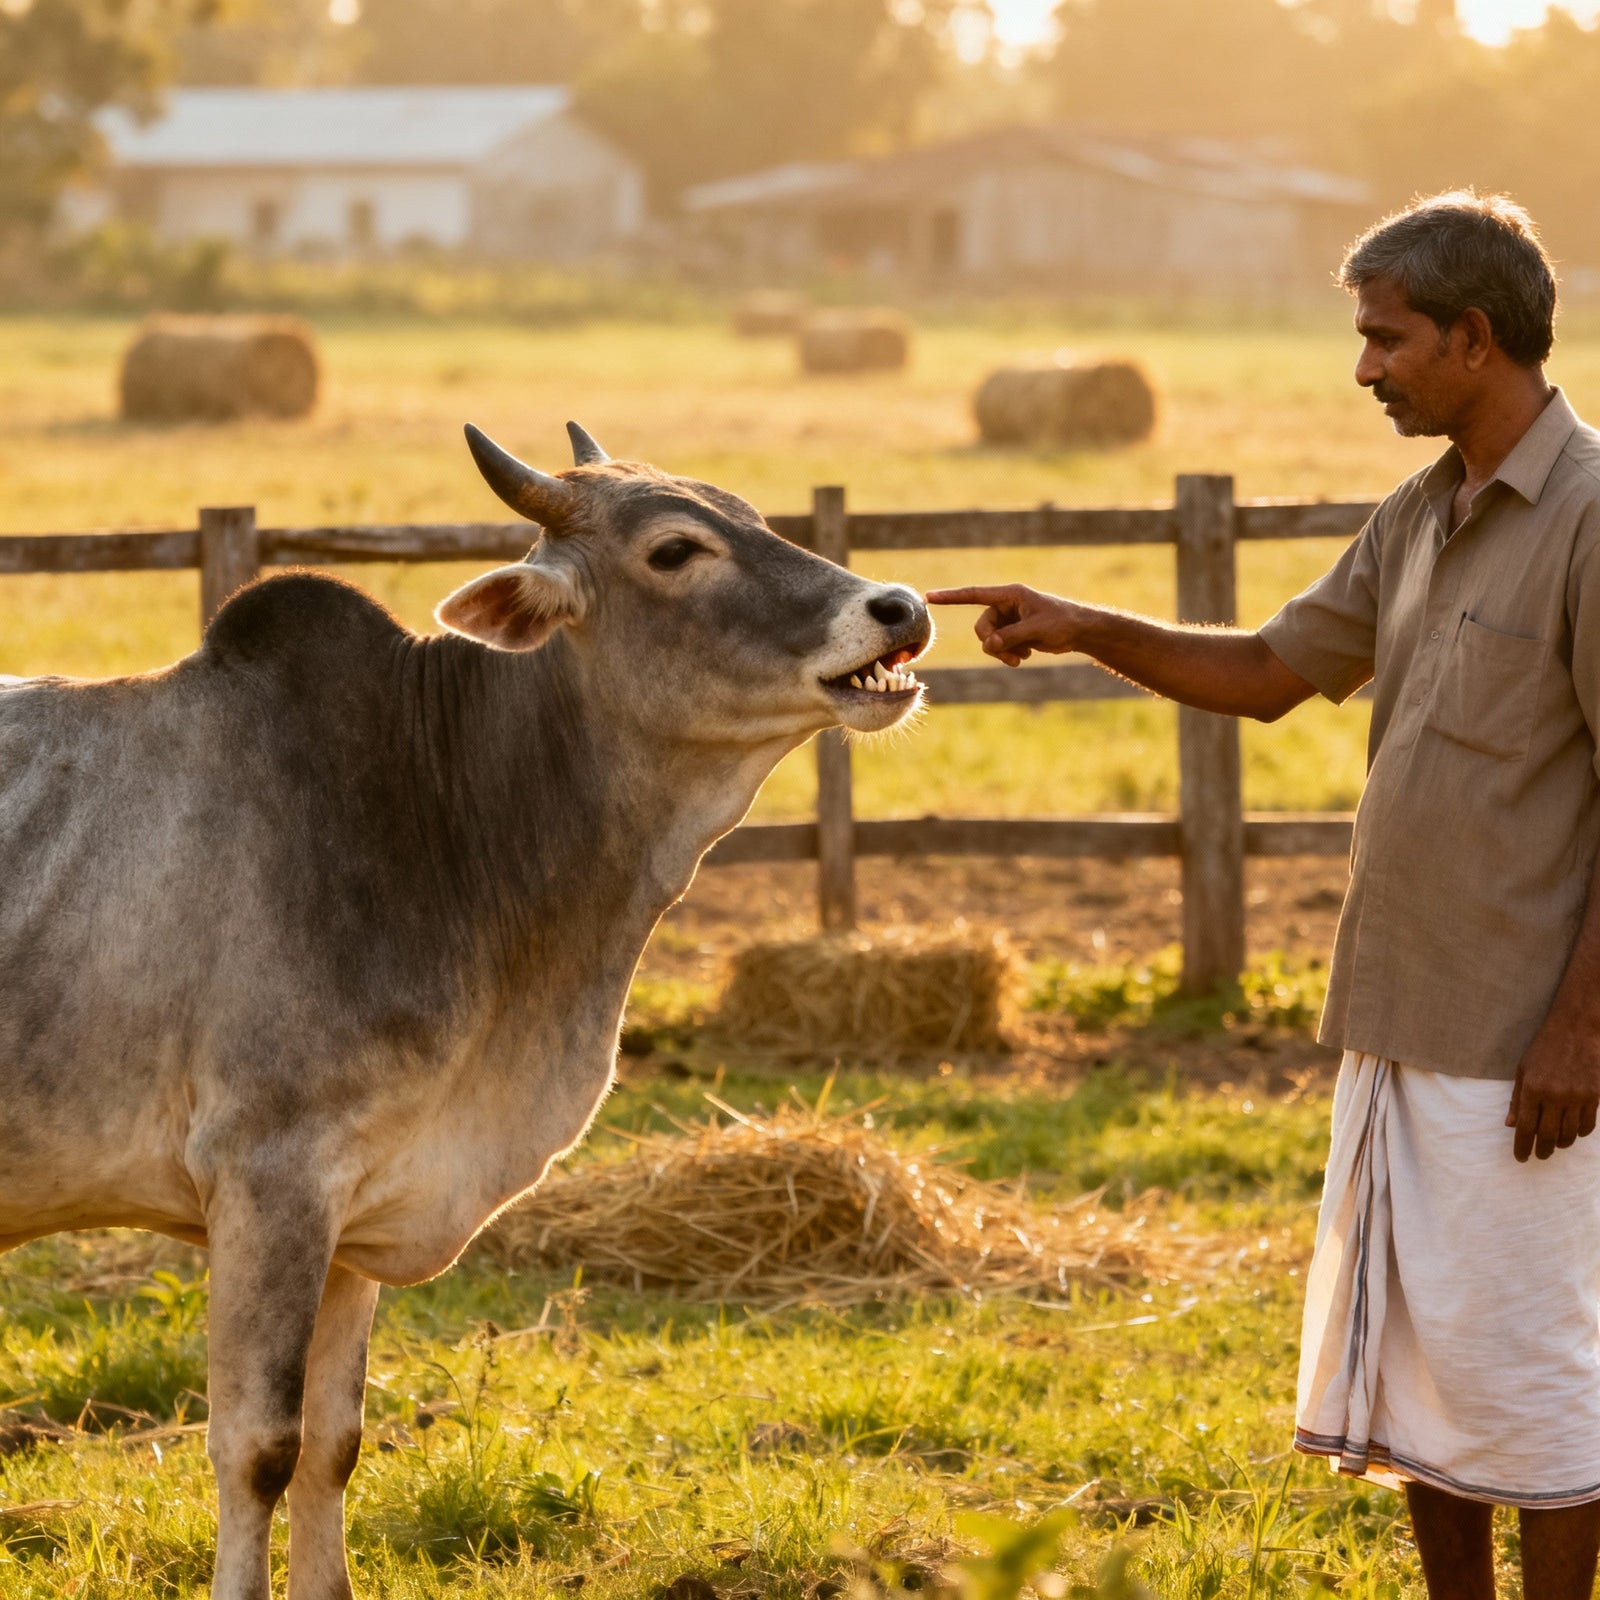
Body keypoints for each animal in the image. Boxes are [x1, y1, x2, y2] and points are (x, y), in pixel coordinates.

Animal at [0, 422, 931, 1600]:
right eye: (675, 550)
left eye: (754, 516)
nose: (900, 607)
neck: (444, 811)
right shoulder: (268, 1179)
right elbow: (257, 1446)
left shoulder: (361, 1208)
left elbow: (331, 1444)